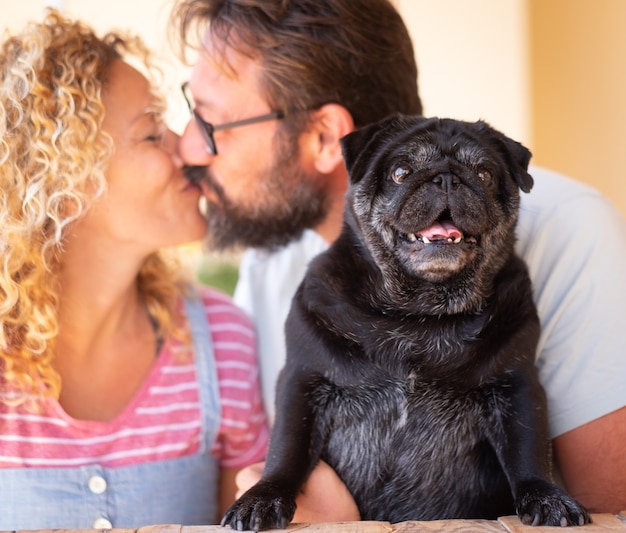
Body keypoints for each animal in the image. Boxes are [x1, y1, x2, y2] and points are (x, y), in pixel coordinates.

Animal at [221, 115, 588, 528]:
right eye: (400, 172)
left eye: (484, 173)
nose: (447, 178)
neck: (418, 312)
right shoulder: (303, 381)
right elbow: (286, 450)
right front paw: (263, 497)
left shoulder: (516, 385)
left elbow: (529, 449)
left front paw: (547, 496)